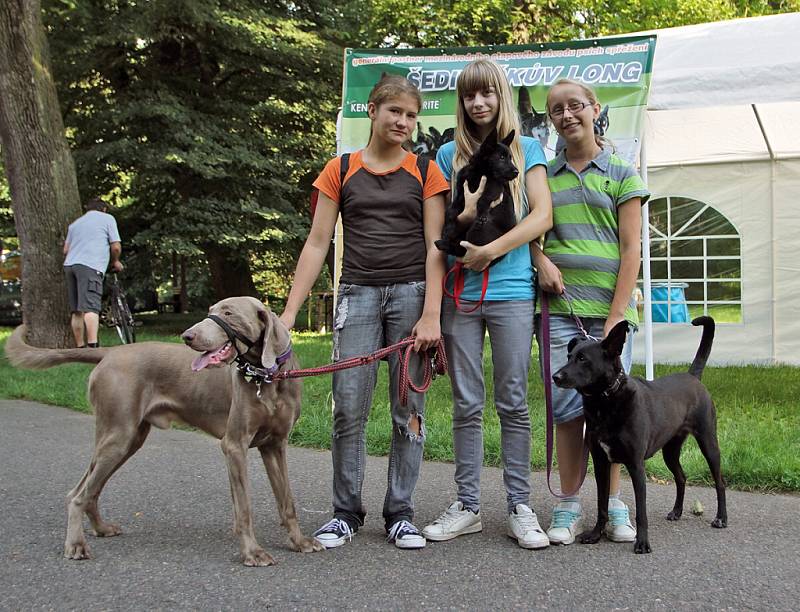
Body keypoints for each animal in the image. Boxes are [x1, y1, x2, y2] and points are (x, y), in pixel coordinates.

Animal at [3, 296, 322, 564]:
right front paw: (253, 552)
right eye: (211, 311)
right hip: (118, 434)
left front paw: (299, 541)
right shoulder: (234, 445)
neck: (266, 378)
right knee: (79, 493)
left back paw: (100, 527)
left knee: (88, 487)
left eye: (229, 314)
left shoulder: (275, 445)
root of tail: (111, 351)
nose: (187, 336)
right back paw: (76, 545)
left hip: (127, 438)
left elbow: (287, 501)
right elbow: (244, 508)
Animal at [438, 128, 520, 262]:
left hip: (479, 232)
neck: (478, 171)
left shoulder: (494, 187)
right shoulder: (461, 194)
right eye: (502, 157)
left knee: (465, 249)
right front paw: (448, 229)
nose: (516, 172)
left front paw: (481, 215)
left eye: (510, 158)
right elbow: (451, 210)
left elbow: (482, 199)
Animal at [552, 318, 728, 552]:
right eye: (569, 357)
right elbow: (601, 504)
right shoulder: (600, 463)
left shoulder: (636, 465)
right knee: (681, 477)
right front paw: (595, 534)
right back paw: (677, 511)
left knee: (720, 481)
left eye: (583, 359)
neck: (605, 401)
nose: (555, 377)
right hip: (670, 451)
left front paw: (643, 542)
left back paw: (721, 518)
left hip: (708, 442)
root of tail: (692, 376)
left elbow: (641, 511)